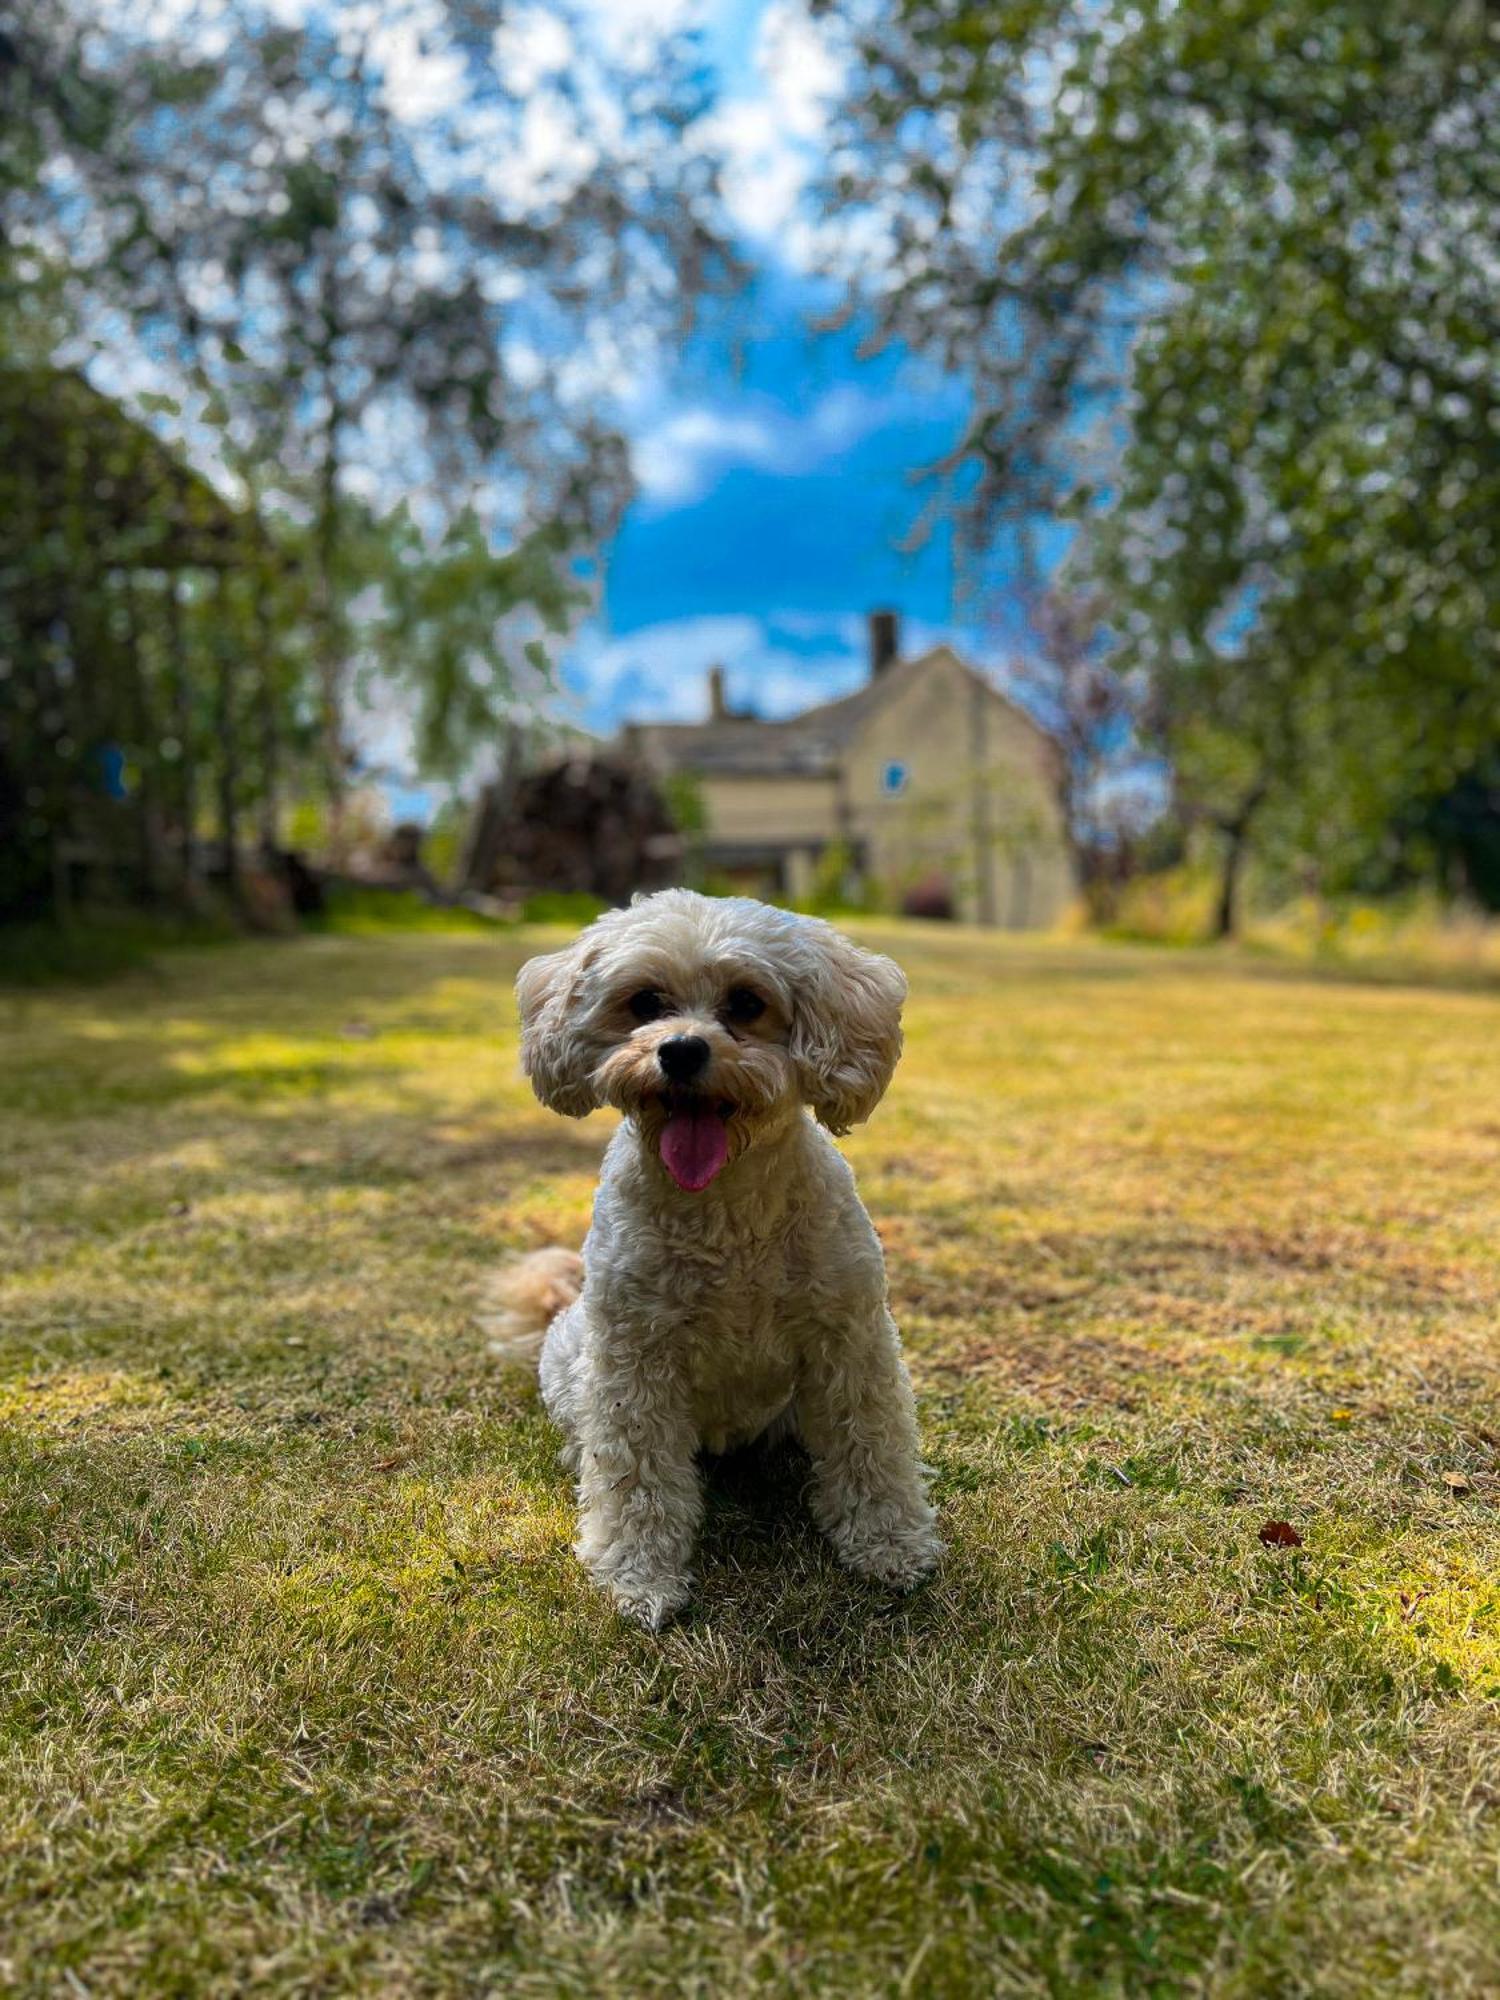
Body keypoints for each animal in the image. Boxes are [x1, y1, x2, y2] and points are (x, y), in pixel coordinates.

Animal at [490, 892, 940, 1624]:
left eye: (747, 1003)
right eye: (645, 1001)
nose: (680, 1050)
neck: (726, 1212)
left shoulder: (851, 1340)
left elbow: (871, 1446)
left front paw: (890, 1545)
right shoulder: (634, 1362)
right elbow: (636, 1475)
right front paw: (639, 1576)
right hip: (570, 1363)